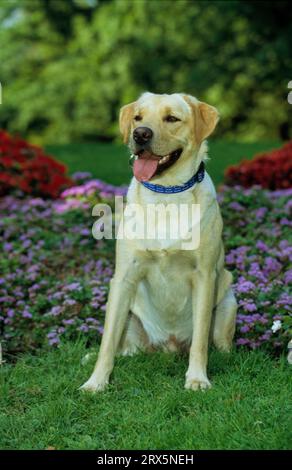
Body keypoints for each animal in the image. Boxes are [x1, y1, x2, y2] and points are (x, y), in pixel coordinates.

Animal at [80, 92, 237, 392]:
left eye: (172, 118)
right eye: (138, 118)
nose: (140, 134)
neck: (166, 193)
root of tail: (169, 346)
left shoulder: (204, 276)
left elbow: (200, 342)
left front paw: (197, 378)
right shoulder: (123, 278)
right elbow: (106, 343)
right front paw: (96, 382)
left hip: (227, 301)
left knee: (217, 344)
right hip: (130, 317)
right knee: (121, 347)